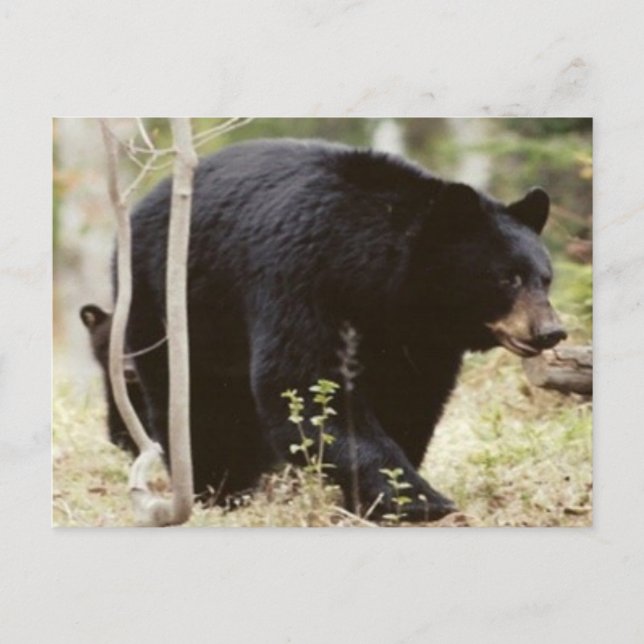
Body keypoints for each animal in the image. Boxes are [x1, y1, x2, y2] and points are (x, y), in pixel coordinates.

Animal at [123, 138, 566, 521]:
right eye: (508, 278)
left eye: (545, 278)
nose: (551, 331)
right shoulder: (302, 278)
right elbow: (304, 383)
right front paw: (421, 500)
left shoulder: (414, 336)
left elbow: (410, 397)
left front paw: (382, 498)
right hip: (169, 300)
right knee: (198, 400)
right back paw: (222, 490)